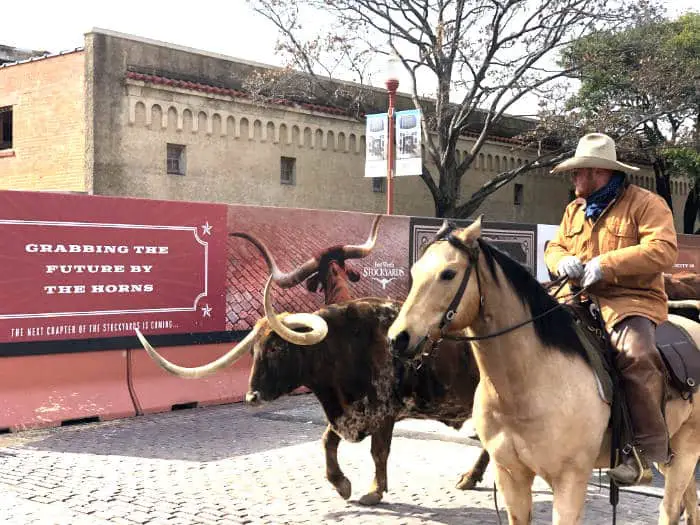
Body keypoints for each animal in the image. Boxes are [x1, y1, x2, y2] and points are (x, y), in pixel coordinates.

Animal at [388, 217, 700, 524]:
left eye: (448, 274)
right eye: (414, 272)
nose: (398, 338)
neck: (528, 386)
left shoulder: (570, 481)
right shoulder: (511, 476)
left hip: (685, 450)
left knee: (670, 508)